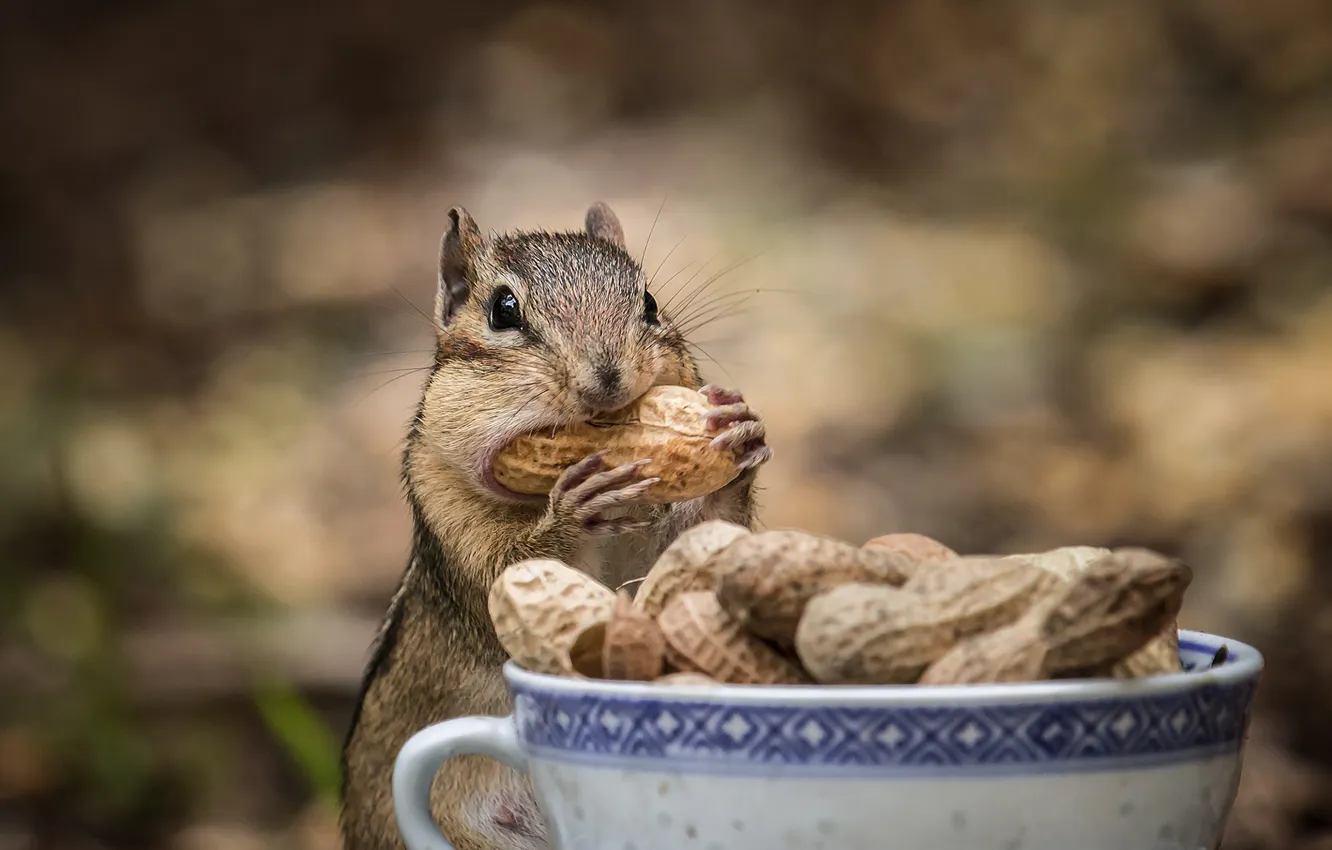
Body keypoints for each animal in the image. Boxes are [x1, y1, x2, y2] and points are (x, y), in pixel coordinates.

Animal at [339, 202, 771, 850]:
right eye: (503, 310)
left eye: (649, 301)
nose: (608, 379)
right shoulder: (448, 517)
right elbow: (511, 579)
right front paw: (573, 513)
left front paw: (737, 437)